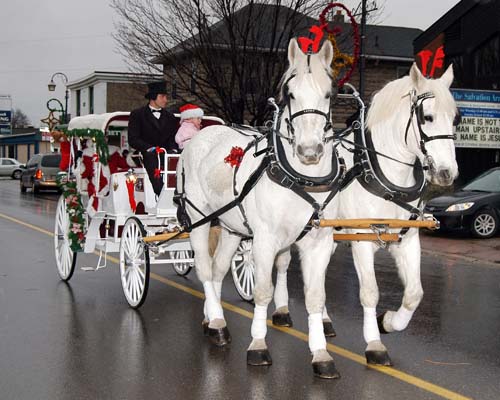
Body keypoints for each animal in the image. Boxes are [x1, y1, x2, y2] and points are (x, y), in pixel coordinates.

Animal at [178, 39, 346, 378]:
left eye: (328, 93)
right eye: (290, 93)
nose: (310, 151)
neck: (301, 178)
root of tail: (201, 134)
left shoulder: (319, 242)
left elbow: (314, 297)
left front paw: (321, 353)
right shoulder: (266, 240)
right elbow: (263, 291)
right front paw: (257, 345)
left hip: (230, 227)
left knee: (218, 269)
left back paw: (212, 317)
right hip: (199, 218)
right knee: (204, 268)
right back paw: (218, 323)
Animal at [272, 62, 458, 366]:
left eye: (456, 119)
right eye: (427, 117)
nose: (446, 173)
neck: (384, 173)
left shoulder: (407, 240)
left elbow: (414, 293)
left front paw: (390, 322)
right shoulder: (361, 239)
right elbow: (370, 292)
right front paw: (374, 343)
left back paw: (324, 320)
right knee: (283, 263)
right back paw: (281, 310)